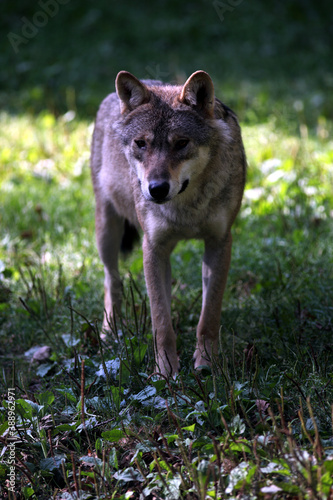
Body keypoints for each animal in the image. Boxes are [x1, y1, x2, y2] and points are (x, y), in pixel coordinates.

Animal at [89, 70, 245, 376]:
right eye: (141, 143)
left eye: (181, 143)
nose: (157, 189)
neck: (187, 206)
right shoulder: (153, 248)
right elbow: (161, 323)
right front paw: (165, 371)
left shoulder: (219, 243)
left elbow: (208, 317)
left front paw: (206, 364)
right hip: (107, 233)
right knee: (111, 281)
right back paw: (109, 332)